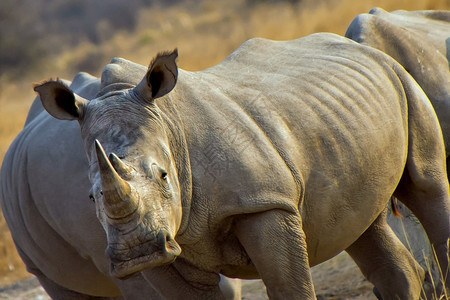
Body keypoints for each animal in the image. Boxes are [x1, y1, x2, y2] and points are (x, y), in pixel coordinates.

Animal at [35, 32, 450, 298]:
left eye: (164, 175)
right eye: (91, 198)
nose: (138, 250)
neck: (169, 125)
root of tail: (358, 46)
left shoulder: (263, 202)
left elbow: (288, 287)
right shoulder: (162, 247)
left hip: (400, 76)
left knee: (427, 187)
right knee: (361, 223)